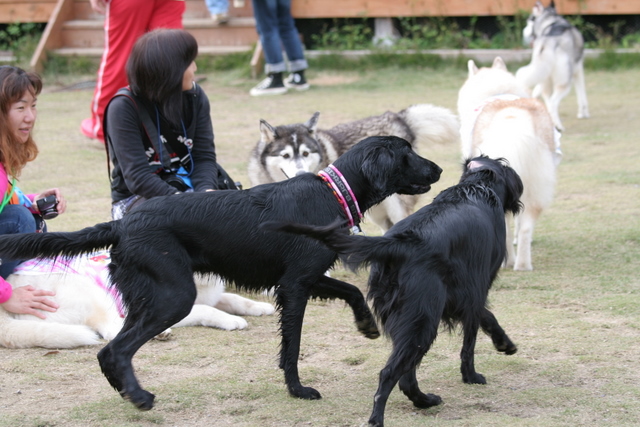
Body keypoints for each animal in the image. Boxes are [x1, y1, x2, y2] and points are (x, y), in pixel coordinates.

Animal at [0, 252, 276, 350]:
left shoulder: (215, 295)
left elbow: (234, 299)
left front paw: (261, 307)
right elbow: (206, 310)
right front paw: (230, 321)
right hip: (92, 293)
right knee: (112, 330)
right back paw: (159, 333)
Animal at [268, 156, 524, 427]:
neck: (477, 188)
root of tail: (397, 245)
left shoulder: (464, 294)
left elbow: (486, 317)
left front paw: (504, 343)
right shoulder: (477, 287)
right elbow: (470, 343)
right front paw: (473, 375)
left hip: (412, 321)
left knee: (406, 377)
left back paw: (424, 401)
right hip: (422, 323)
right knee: (391, 374)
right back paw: (380, 417)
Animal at [458, 56, 556, 270]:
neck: (497, 93)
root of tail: (513, 125)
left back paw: (508, 261)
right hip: (538, 185)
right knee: (526, 227)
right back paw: (523, 265)